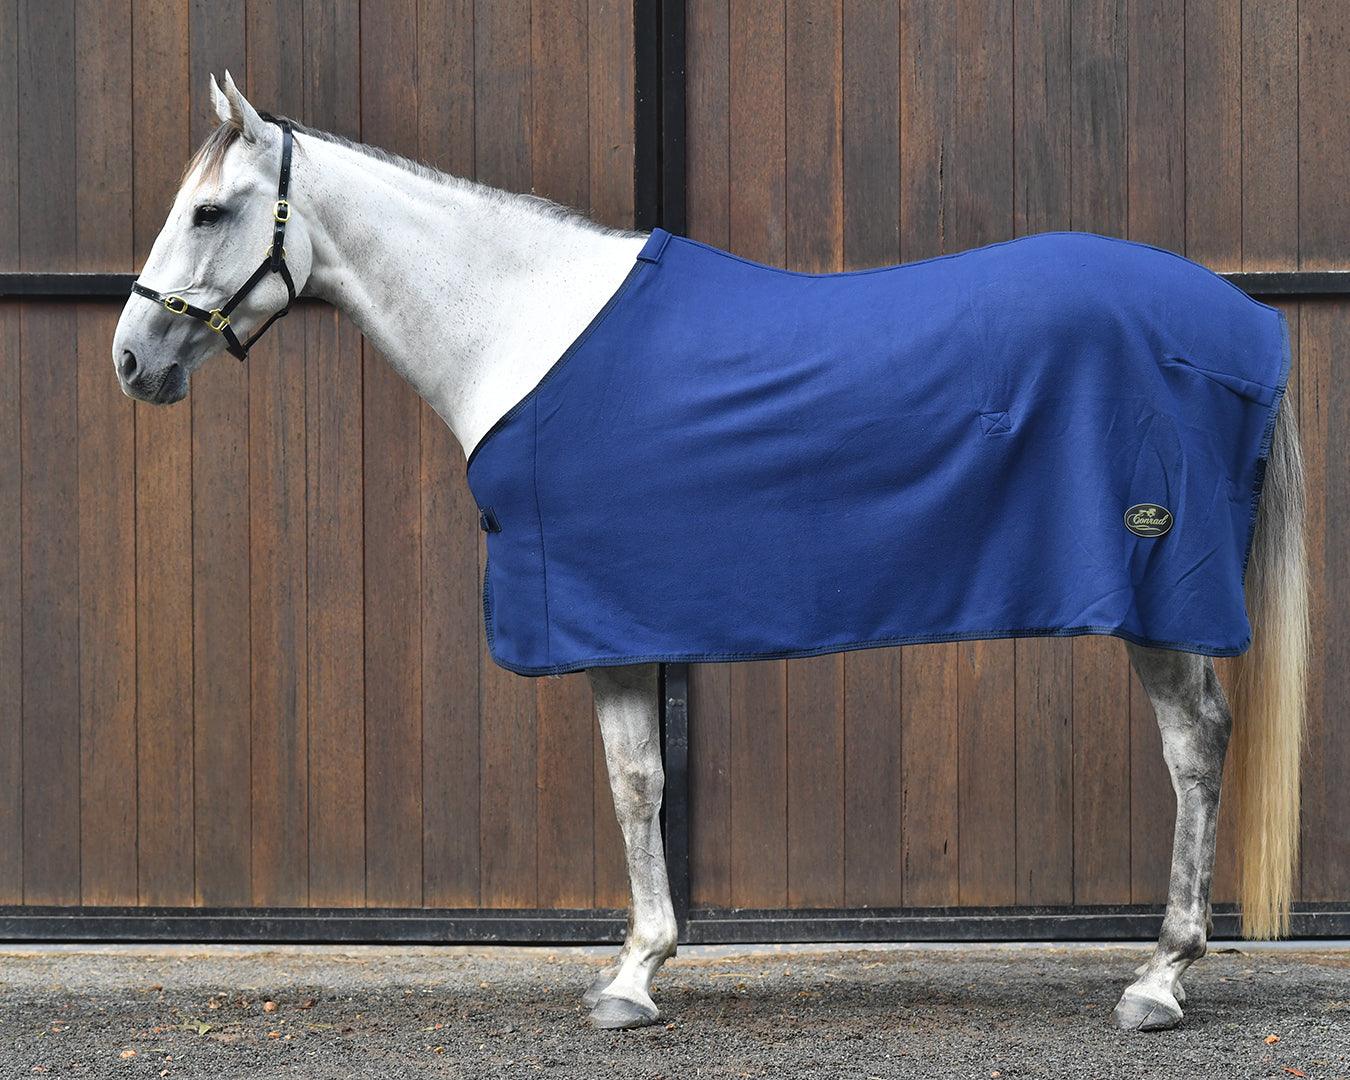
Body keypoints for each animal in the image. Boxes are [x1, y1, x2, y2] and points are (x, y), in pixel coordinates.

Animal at [113, 72, 1307, 1033]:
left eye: (210, 210)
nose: (132, 360)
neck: (526, 331)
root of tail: (1247, 325)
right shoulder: (615, 622)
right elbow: (640, 782)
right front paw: (638, 968)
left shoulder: (597, 617)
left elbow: (634, 783)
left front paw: (633, 978)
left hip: (1158, 596)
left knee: (1196, 747)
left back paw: (1161, 980)